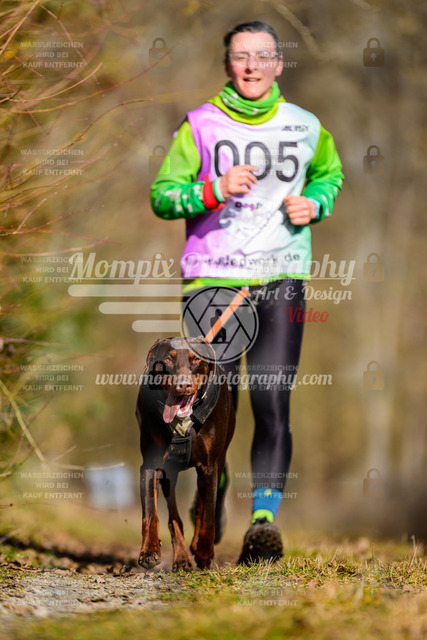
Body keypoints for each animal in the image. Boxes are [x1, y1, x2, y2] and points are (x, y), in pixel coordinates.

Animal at [136, 336, 235, 572]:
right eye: (168, 360)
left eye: (196, 359)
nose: (184, 385)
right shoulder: (151, 464)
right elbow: (150, 513)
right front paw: (149, 551)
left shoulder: (210, 466)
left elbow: (208, 515)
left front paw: (204, 552)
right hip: (169, 474)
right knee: (174, 516)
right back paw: (181, 558)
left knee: (202, 506)